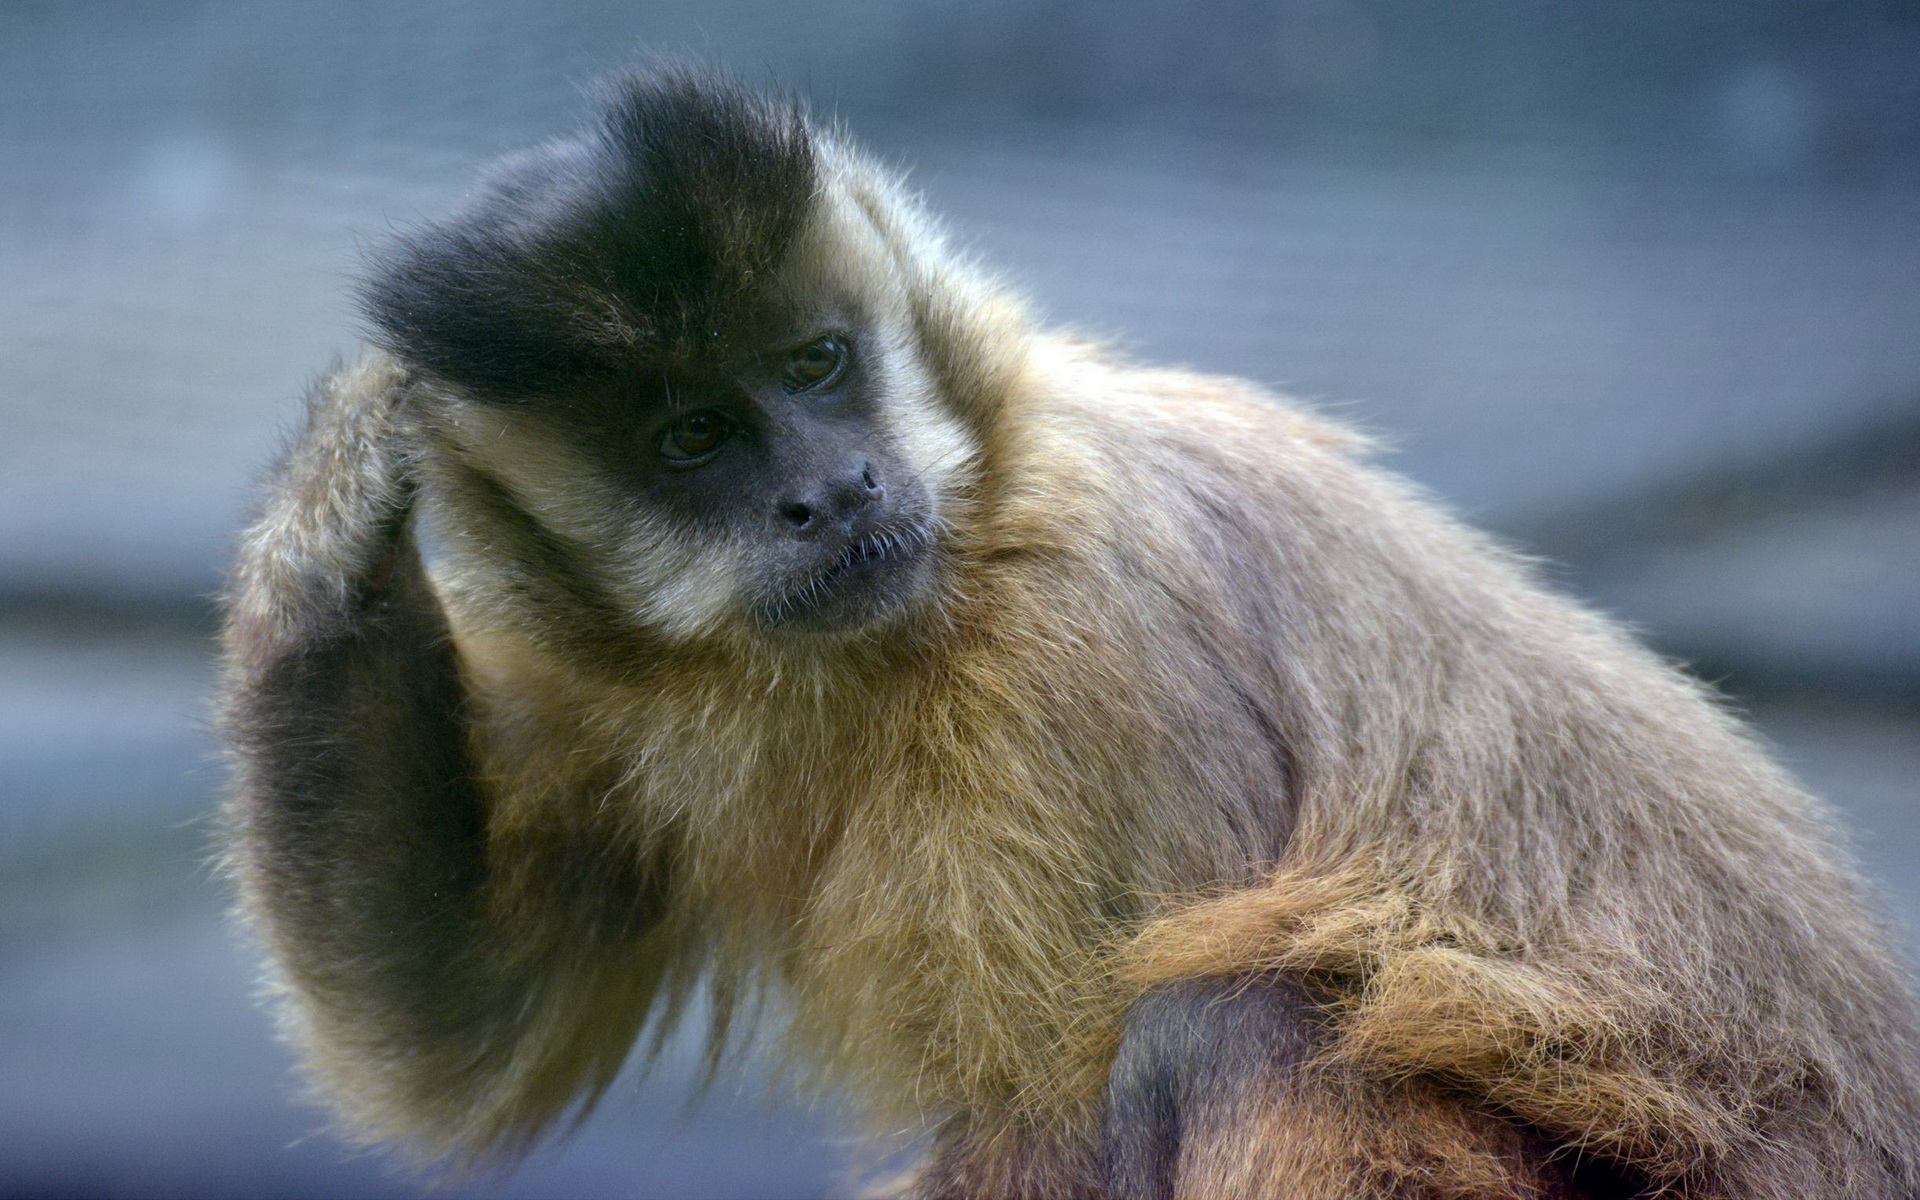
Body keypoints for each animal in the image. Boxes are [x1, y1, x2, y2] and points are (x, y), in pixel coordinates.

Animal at [217, 67, 1920, 1198]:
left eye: (818, 364)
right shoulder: (619, 682)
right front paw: (324, 520)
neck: (955, 565)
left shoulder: (1083, 651)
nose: (833, 492)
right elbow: (465, 1041)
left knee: (1228, 1028)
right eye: (698, 439)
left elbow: (1060, 1109)